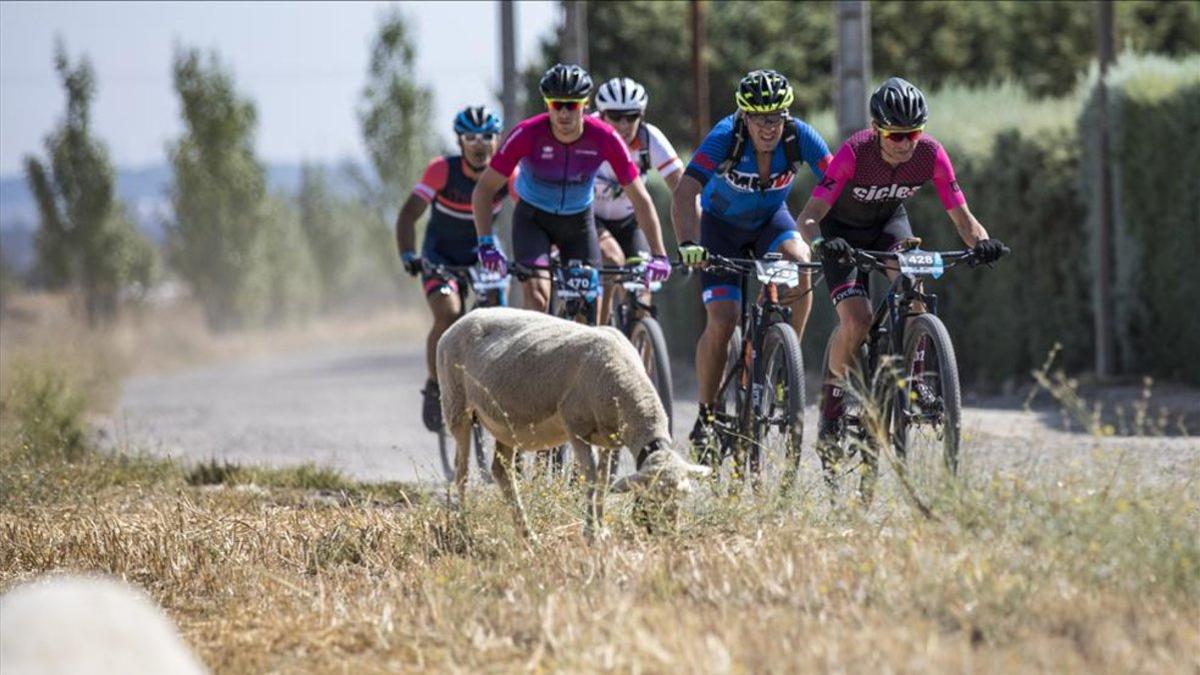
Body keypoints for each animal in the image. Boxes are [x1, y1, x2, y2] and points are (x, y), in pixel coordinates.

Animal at [436, 307, 705, 538]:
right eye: (653, 495)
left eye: (683, 496)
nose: (669, 535)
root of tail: (458, 323)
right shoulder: (575, 428)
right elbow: (591, 477)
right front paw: (590, 533)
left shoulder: (609, 438)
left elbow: (604, 480)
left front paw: (601, 529)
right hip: (456, 406)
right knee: (461, 471)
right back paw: (465, 530)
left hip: (505, 424)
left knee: (501, 472)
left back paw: (528, 536)